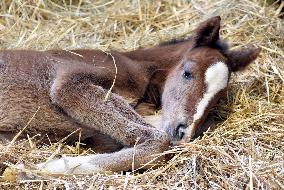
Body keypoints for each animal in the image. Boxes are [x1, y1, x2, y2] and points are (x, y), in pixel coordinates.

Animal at [0, 16, 258, 175]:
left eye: (217, 99)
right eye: (187, 73)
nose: (184, 133)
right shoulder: (68, 83)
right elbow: (157, 141)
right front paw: (42, 169)